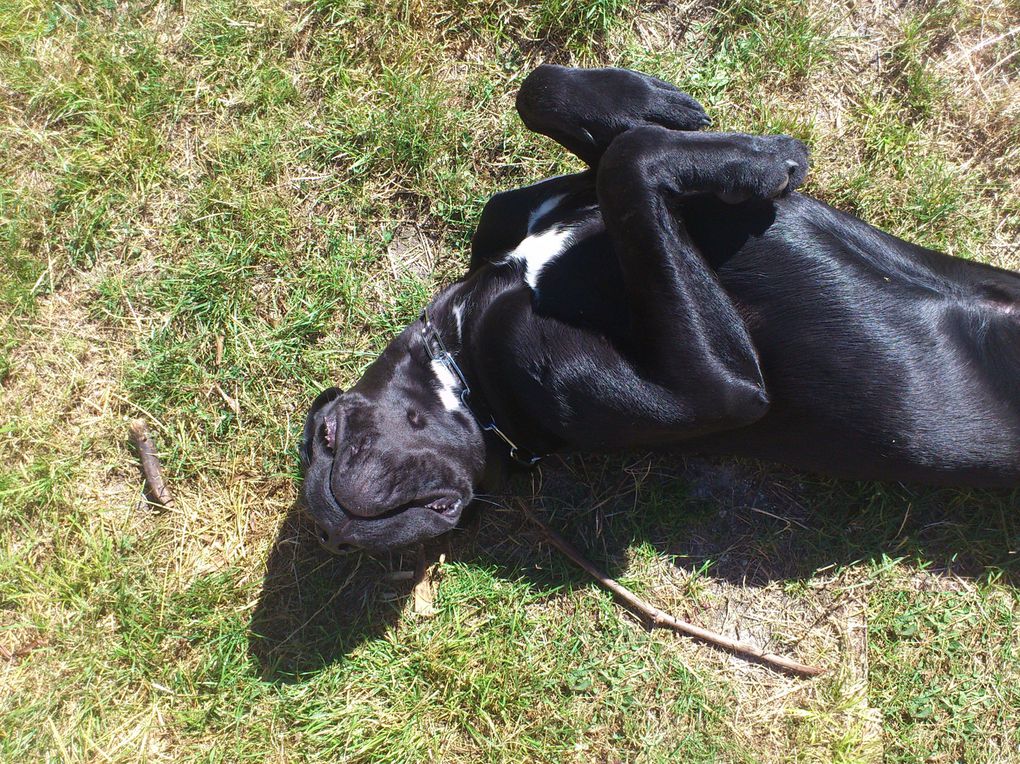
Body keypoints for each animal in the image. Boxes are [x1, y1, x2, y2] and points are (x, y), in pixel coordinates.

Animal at [299, 65, 1020, 550]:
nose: (334, 528)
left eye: (327, 436)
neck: (467, 357)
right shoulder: (713, 389)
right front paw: (760, 158)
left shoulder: (523, 209)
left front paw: (664, 107)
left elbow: (550, 97)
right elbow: (629, 158)